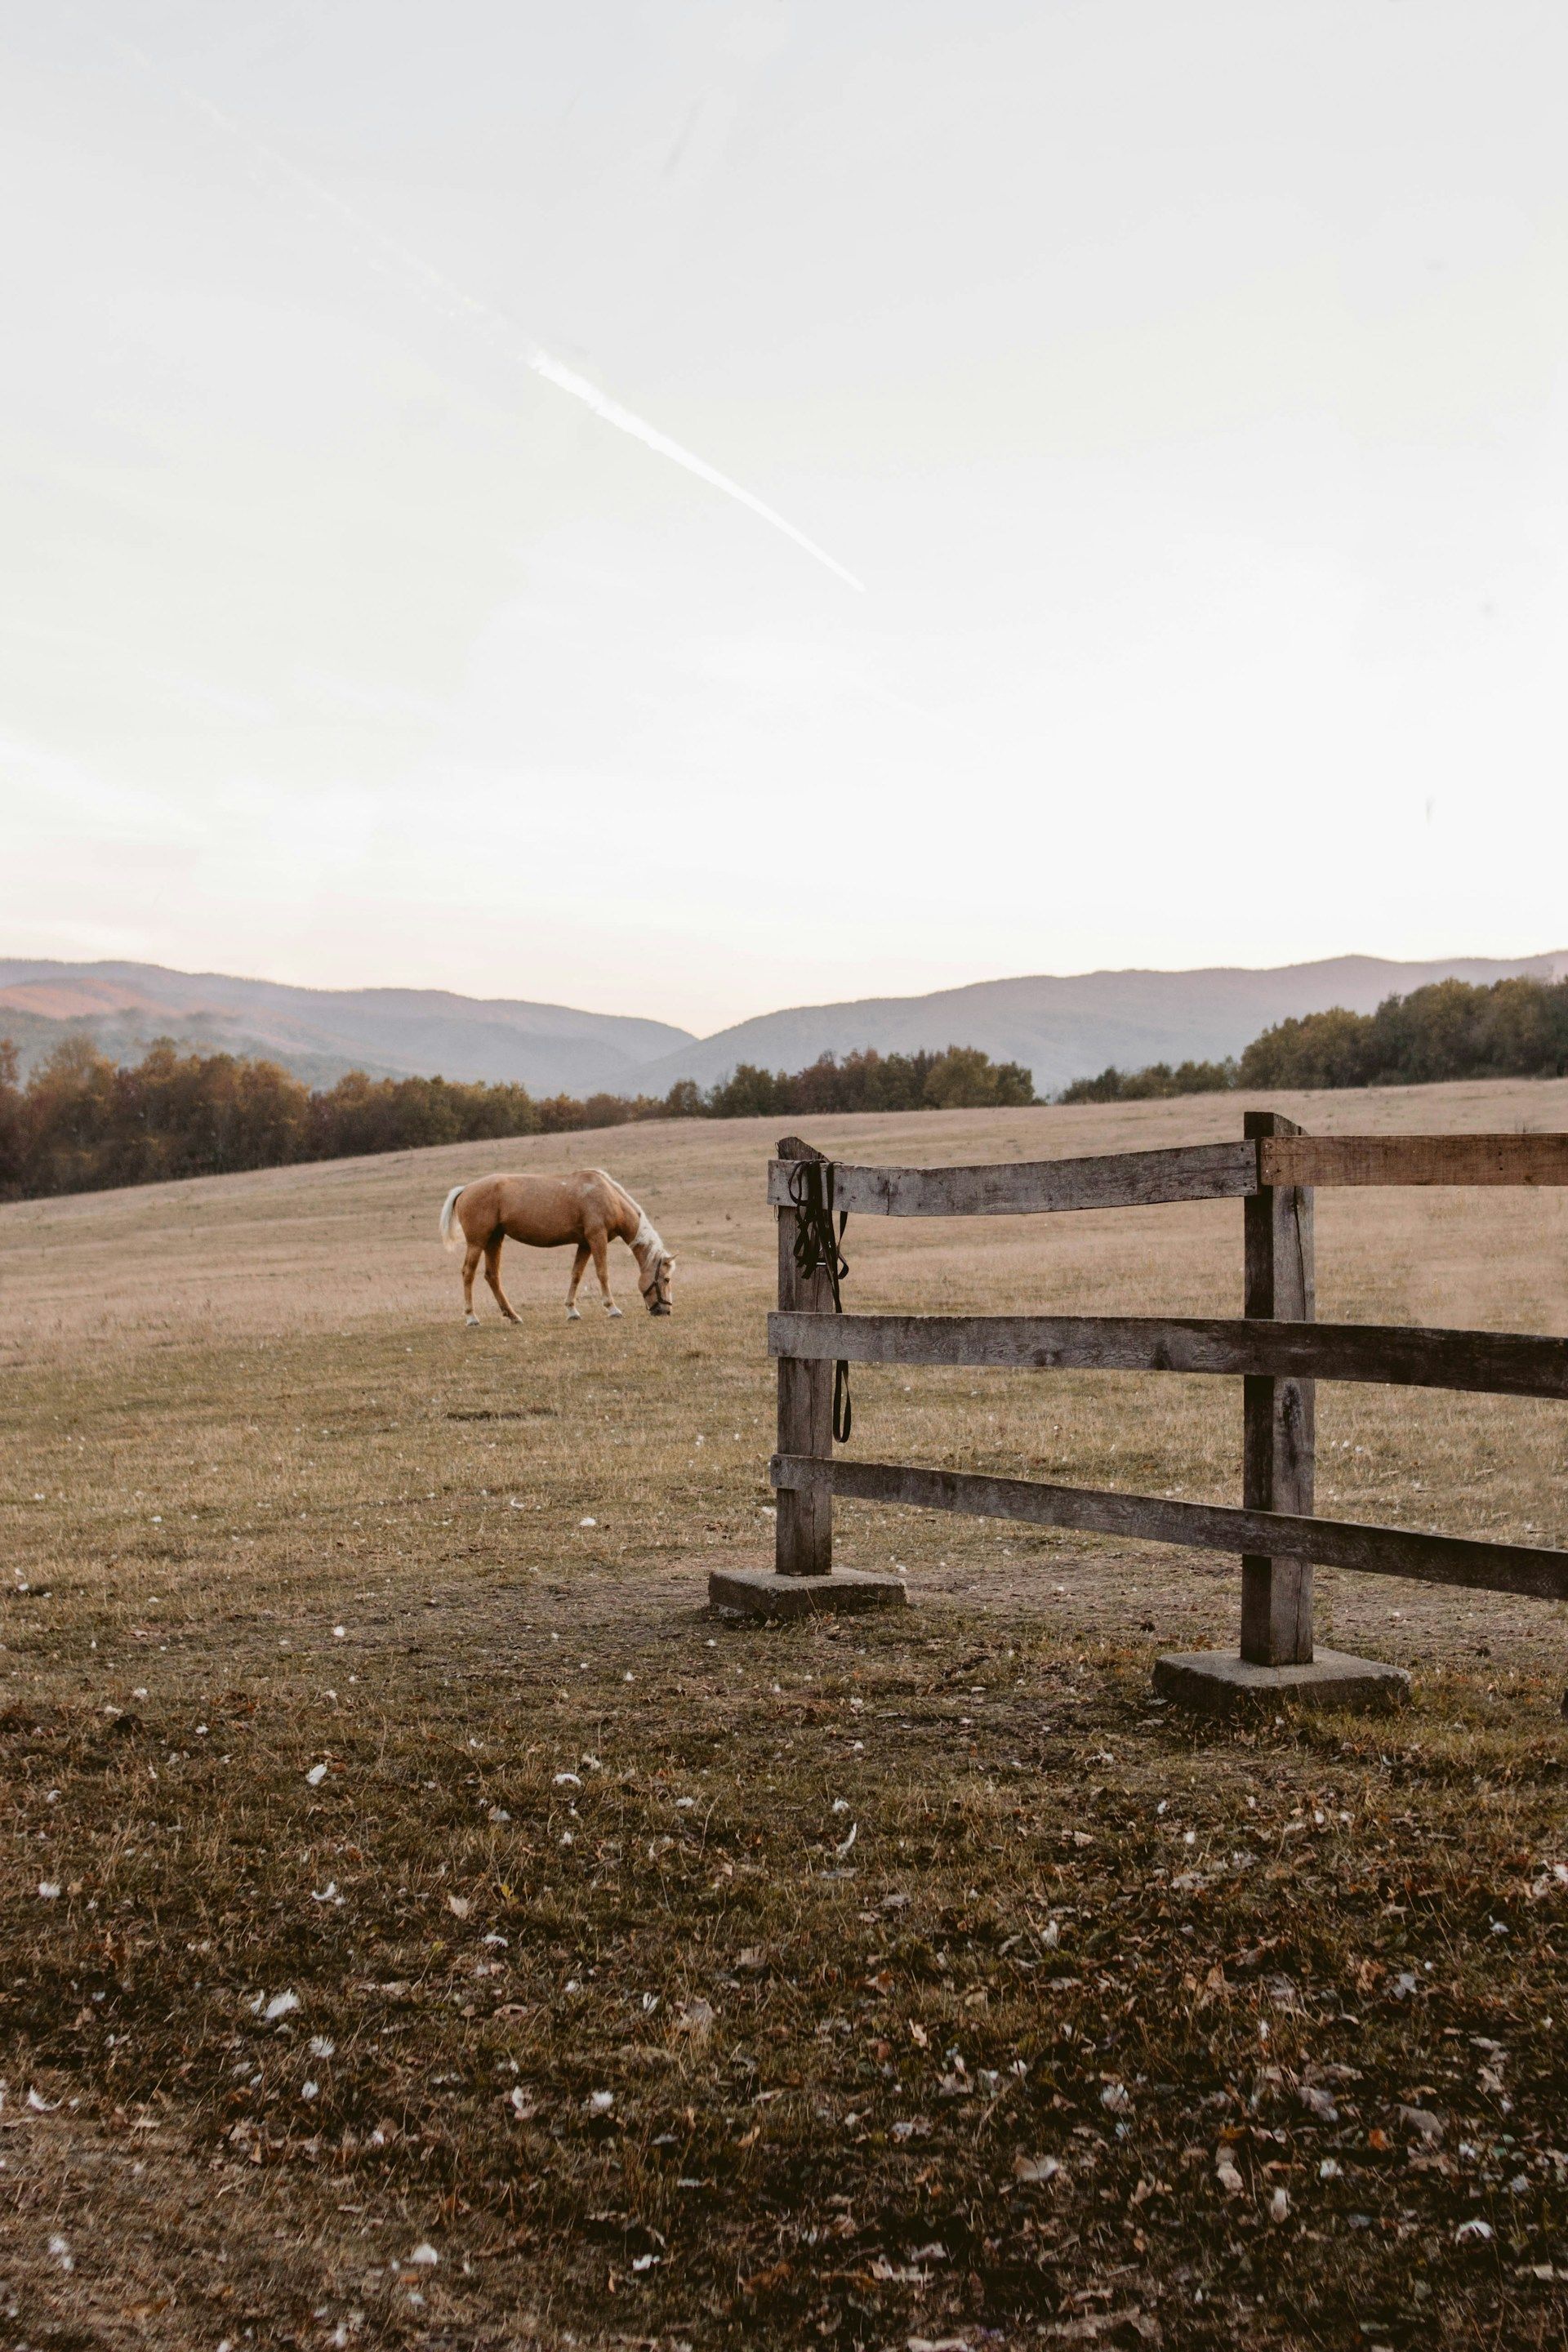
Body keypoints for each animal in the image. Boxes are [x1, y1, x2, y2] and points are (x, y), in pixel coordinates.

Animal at [439, 1171, 675, 1325]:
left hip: (494, 1240)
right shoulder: (596, 1239)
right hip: (477, 1243)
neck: (609, 1197)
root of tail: (466, 1189)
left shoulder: (584, 1244)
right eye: (666, 1279)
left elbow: (576, 1275)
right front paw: (612, 1309)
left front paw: (572, 1311)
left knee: (492, 1276)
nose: (665, 1311)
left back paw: (513, 1316)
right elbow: (602, 1273)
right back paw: (472, 1317)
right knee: (468, 1274)